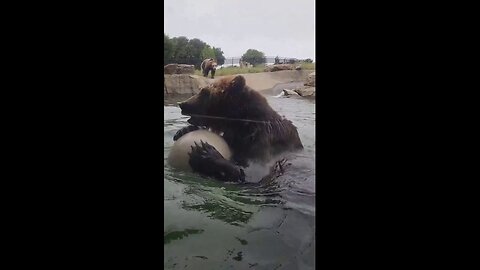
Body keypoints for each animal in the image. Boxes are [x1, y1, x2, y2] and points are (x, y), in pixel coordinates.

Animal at [173, 75, 304, 182]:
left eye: (204, 91)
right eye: (201, 89)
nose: (182, 104)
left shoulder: (260, 138)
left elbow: (256, 172)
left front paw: (204, 151)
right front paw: (184, 130)